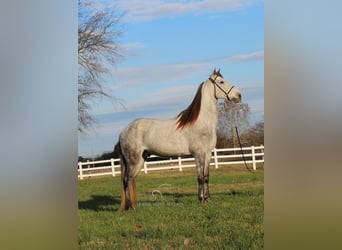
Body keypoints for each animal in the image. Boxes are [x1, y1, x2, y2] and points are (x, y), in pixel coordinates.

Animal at [117, 69, 240, 211]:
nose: (239, 95)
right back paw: (131, 207)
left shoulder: (208, 154)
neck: (203, 123)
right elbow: (200, 177)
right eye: (221, 82)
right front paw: (201, 199)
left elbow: (206, 176)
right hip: (133, 161)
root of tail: (123, 131)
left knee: (130, 180)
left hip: (141, 160)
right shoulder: (198, 154)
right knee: (127, 180)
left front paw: (208, 199)